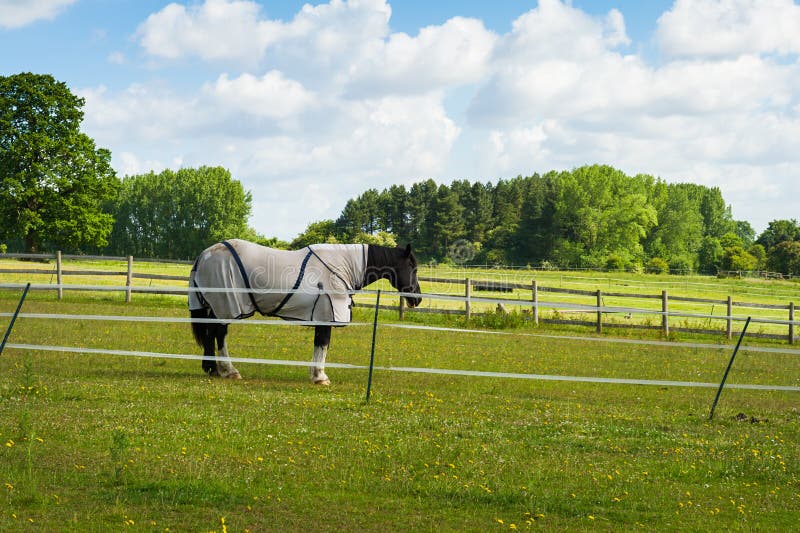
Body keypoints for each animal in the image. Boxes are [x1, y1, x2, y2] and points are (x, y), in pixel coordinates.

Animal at [188, 239, 421, 384]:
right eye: (413, 267)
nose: (417, 298)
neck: (342, 265)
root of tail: (204, 255)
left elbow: (319, 345)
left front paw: (315, 374)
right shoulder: (327, 316)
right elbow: (323, 344)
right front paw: (320, 377)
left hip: (216, 306)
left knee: (210, 333)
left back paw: (213, 369)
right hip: (226, 306)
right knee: (219, 334)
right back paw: (229, 371)